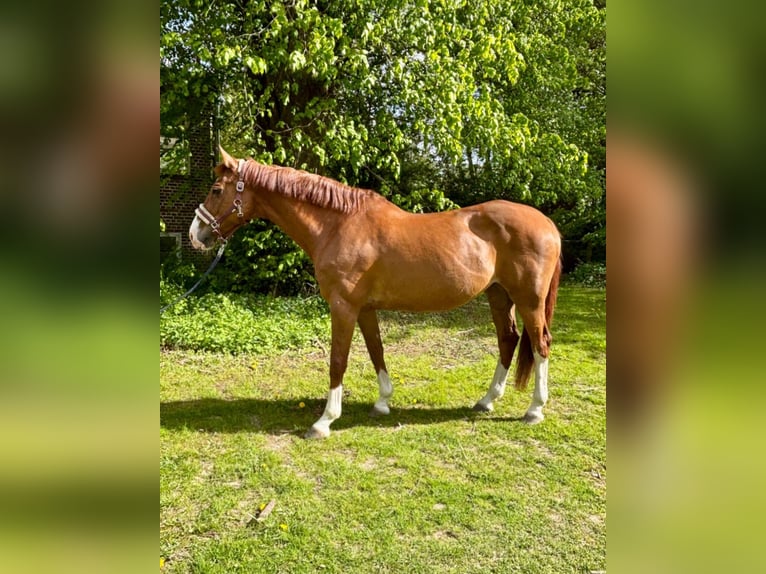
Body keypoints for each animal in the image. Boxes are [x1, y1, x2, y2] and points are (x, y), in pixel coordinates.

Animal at [189, 146, 562, 439]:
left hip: (529, 300)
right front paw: (383, 401)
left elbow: (338, 359)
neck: (339, 225)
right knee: (508, 340)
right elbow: (376, 350)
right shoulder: (365, 308)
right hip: (499, 295)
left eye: (216, 189)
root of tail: (547, 225)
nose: (196, 235)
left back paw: (534, 410)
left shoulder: (343, 306)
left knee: (540, 344)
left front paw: (324, 421)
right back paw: (486, 401)